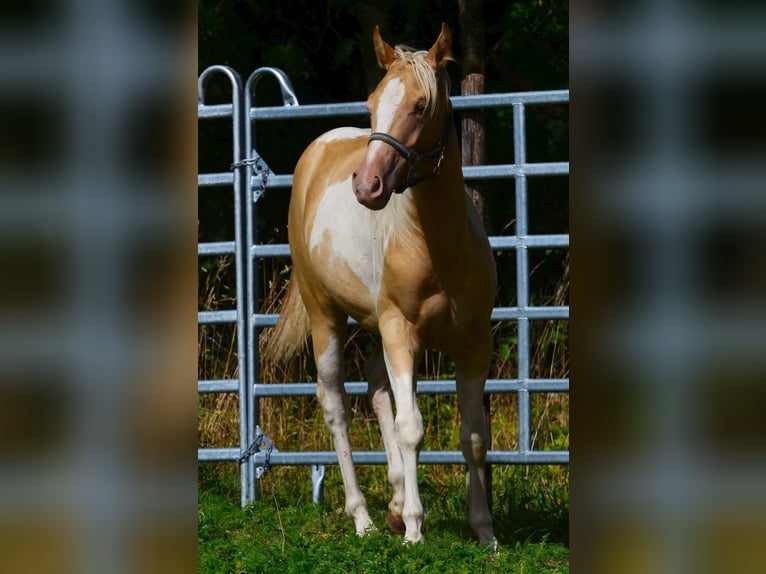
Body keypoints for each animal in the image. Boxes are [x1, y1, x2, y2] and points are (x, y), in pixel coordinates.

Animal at [264, 23, 497, 546]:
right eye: (371, 103)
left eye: (420, 105)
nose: (366, 186)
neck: (438, 247)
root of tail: (318, 149)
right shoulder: (400, 333)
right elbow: (412, 427)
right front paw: (414, 528)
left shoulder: (473, 341)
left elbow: (473, 436)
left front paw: (485, 532)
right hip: (327, 317)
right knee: (336, 405)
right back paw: (365, 518)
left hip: (373, 324)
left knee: (374, 387)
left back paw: (390, 505)